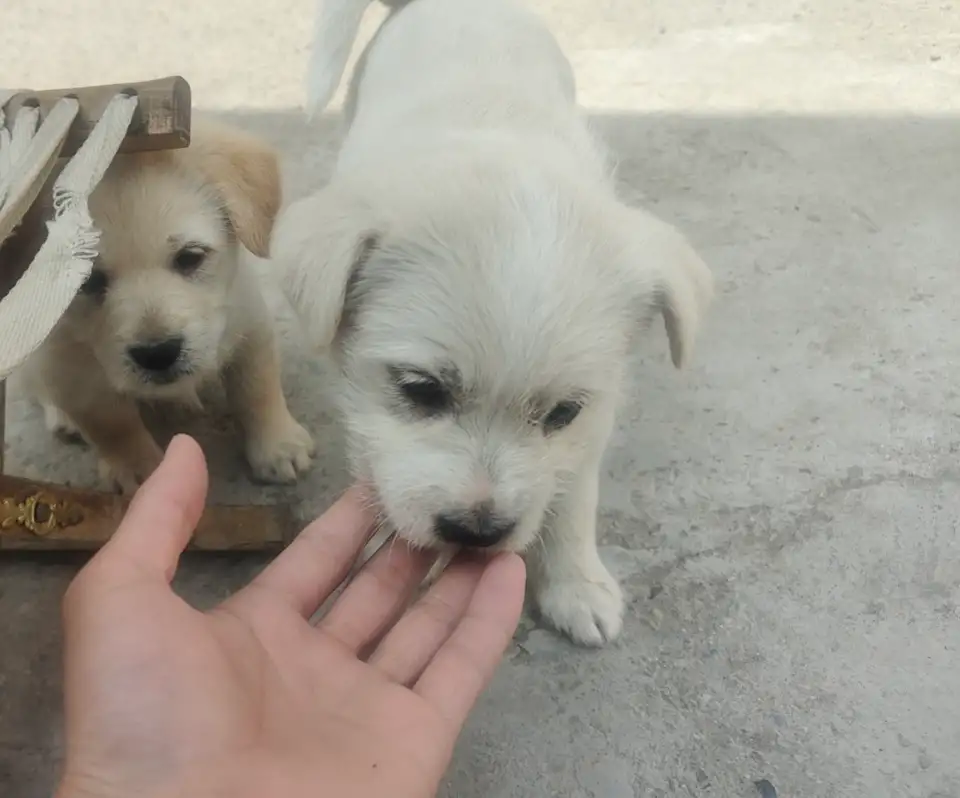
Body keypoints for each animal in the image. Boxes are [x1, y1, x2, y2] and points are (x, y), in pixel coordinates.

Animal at [11, 119, 316, 494]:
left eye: (190, 257)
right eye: (87, 280)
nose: (158, 354)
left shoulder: (249, 318)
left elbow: (257, 386)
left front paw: (277, 445)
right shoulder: (71, 371)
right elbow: (112, 424)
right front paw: (138, 469)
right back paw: (63, 418)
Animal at [276, 0, 712, 648]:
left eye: (562, 413)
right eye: (421, 390)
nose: (478, 532)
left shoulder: (592, 421)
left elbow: (573, 497)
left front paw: (577, 585)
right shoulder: (369, 423)